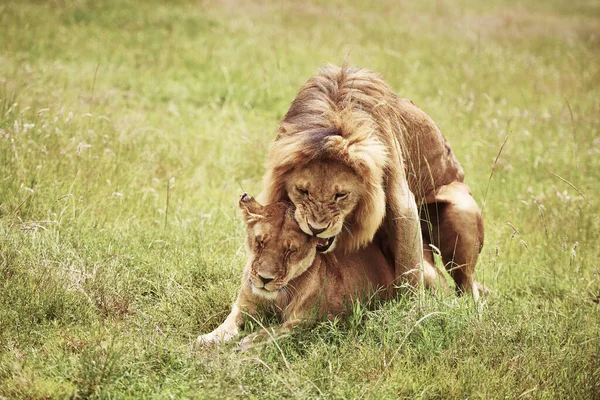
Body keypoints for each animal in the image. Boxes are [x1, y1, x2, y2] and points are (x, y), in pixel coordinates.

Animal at [197, 195, 398, 348]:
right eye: (260, 242)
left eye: (290, 250)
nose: (264, 279)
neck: (277, 297)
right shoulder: (243, 306)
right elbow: (228, 323)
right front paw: (208, 338)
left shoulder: (309, 320)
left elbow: (277, 329)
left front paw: (251, 340)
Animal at [260, 64, 486, 298]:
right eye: (303, 191)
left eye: (341, 195)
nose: (315, 229)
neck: (336, 113)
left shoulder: (402, 201)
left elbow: (409, 267)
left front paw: (410, 306)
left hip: (461, 211)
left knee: (464, 285)